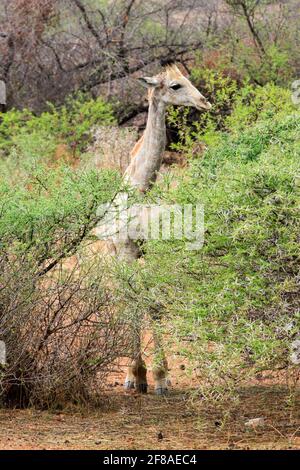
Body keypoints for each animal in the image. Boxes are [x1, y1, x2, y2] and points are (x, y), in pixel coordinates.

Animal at [99, 62, 210, 392]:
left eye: (188, 79)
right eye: (175, 86)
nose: (204, 102)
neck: (139, 187)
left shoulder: (153, 252)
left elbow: (155, 304)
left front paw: (161, 376)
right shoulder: (126, 252)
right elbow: (137, 302)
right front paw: (138, 374)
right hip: (113, 257)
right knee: (125, 299)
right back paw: (131, 375)